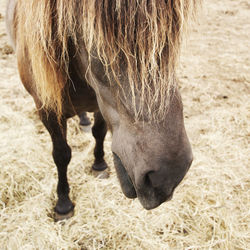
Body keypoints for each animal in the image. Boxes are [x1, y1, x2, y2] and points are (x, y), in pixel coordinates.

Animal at [4, 0, 198, 219]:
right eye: (95, 40)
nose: (167, 176)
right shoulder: (48, 109)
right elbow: (61, 154)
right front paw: (63, 203)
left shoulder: (100, 104)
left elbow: (99, 132)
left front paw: (99, 165)